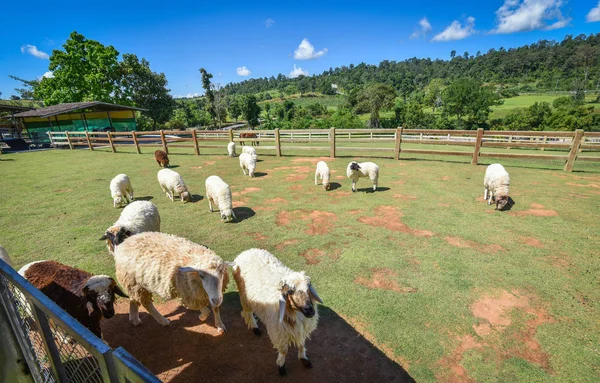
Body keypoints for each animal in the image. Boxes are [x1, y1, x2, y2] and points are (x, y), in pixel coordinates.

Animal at [233, 249, 324, 378]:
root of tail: (247, 251)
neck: (294, 312)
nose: (310, 311)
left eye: (308, 288)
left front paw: (304, 359)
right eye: (291, 291)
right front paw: (281, 366)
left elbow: (301, 343)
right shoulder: (278, 331)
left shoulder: (301, 328)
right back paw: (255, 327)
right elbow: (283, 350)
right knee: (247, 312)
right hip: (244, 295)